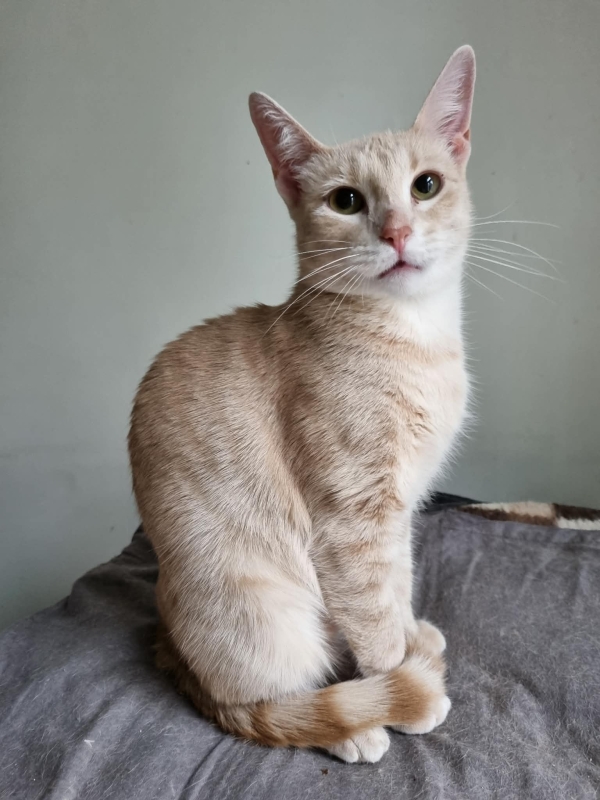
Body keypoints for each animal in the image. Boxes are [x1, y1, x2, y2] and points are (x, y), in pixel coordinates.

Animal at [128, 45, 475, 764]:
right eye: (346, 200)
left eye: (425, 186)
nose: (397, 231)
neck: (416, 340)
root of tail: (175, 654)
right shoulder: (350, 519)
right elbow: (373, 620)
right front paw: (402, 684)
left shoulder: (398, 511)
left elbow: (397, 589)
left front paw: (412, 640)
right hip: (265, 613)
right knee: (267, 705)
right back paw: (356, 725)